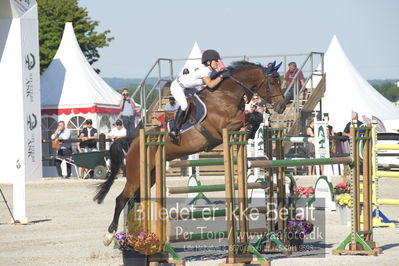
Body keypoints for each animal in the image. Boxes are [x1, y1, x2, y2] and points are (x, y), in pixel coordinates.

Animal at [95, 60, 286, 245]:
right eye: (272, 82)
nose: (282, 106)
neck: (225, 94)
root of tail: (133, 141)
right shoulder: (224, 125)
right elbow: (250, 116)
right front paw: (250, 129)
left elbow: (256, 116)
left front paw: (252, 131)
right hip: (136, 175)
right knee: (121, 199)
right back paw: (109, 235)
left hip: (150, 174)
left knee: (135, 199)